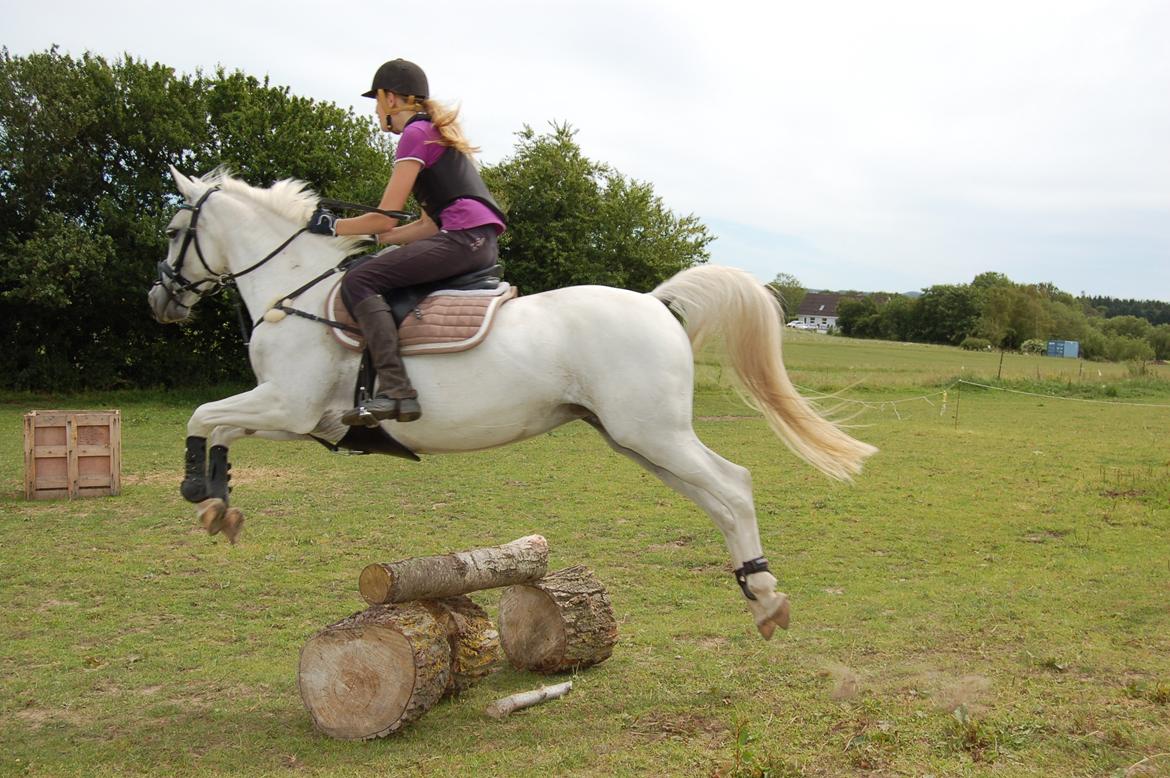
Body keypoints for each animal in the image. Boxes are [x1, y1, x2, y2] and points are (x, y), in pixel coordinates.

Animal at [148, 168, 879, 636]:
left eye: (175, 230)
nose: (160, 300)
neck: (294, 294)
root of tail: (654, 302)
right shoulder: (295, 417)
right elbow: (219, 430)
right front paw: (219, 505)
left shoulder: (289, 406)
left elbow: (202, 416)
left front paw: (196, 492)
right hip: (637, 440)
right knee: (717, 499)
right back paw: (755, 595)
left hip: (655, 434)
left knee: (734, 485)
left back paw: (765, 595)